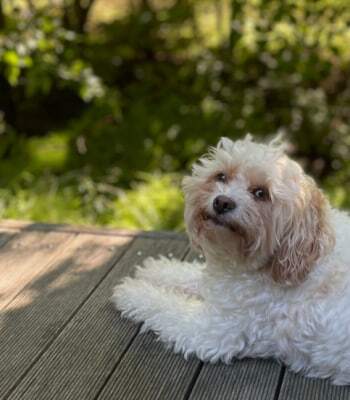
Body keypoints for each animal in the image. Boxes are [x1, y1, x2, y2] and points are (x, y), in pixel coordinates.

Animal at [113, 134, 350, 384]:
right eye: (221, 176)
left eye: (261, 193)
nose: (222, 202)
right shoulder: (222, 285)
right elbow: (189, 276)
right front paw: (156, 270)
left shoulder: (213, 330)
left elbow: (163, 305)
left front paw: (132, 291)